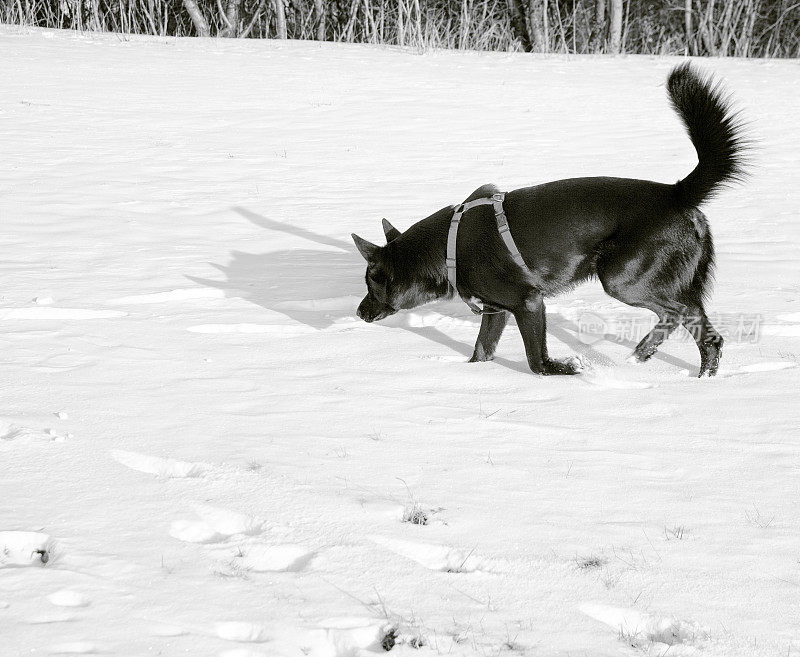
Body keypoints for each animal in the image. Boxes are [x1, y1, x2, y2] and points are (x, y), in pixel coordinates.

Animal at [354, 65, 748, 380]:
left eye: (373, 282)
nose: (359, 313)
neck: (449, 246)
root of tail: (676, 193)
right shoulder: (497, 310)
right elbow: (481, 352)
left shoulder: (528, 302)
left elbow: (536, 362)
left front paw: (569, 369)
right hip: (668, 283)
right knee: (706, 334)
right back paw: (694, 379)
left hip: (622, 278)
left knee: (677, 314)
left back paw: (645, 357)